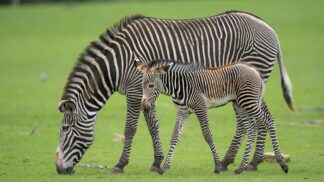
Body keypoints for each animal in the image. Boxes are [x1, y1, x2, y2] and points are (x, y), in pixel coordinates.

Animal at [135, 59, 290, 173]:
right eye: (142, 86)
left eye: (150, 85)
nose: (143, 106)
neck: (180, 87)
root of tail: (254, 70)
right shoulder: (182, 112)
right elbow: (174, 137)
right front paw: (164, 167)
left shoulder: (201, 108)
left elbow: (207, 135)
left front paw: (217, 166)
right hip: (239, 104)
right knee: (252, 128)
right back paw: (241, 168)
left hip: (249, 101)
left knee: (269, 122)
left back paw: (282, 164)